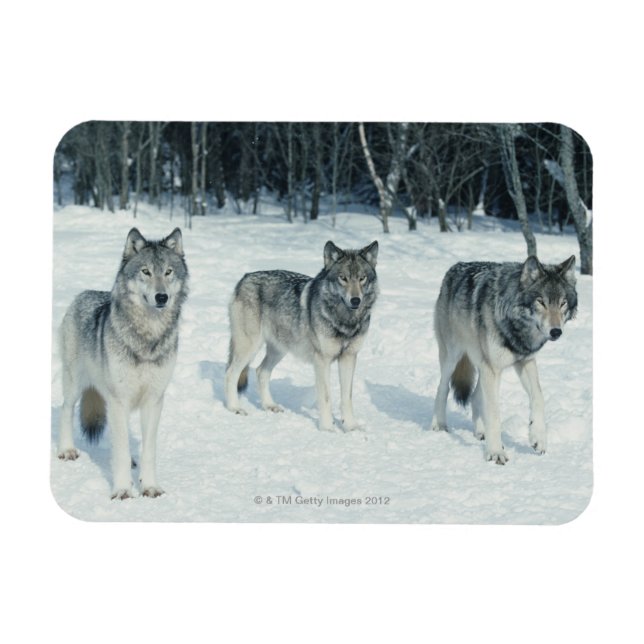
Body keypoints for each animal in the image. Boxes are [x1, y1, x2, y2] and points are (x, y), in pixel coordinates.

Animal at [56, 228, 189, 499]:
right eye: (146, 271)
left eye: (168, 272)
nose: (162, 297)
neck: (147, 337)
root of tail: (83, 294)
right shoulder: (119, 399)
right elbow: (119, 451)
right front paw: (122, 490)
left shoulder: (154, 400)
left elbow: (148, 451)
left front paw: (149, 486)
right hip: (75, 384)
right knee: (66, 410)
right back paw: (66, 450)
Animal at [224, 240, 379, 432]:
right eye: (343, 278)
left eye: (362, 278)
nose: (355, 300)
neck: (345, 321)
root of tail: (244, 278)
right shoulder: (322, 360)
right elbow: (326, 397)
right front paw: (327, 428)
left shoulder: (349, 357)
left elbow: (346, 398)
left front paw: (350, 427)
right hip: (250, 347)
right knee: (231, 374)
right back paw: (234, 408)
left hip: (279, 349)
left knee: (261, 371)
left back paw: (270, 405)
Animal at [431, 255, 577, 464]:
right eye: (541, 302)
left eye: (563, 303)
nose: (556, 331)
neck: (517, 328)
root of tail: (456, 266)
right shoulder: (492, 368)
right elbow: (494, 413)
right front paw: (495, 452)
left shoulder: (525, 361)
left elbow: (539, 397)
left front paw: (538, 438)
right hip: (453, 356)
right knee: (442, 387)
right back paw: (439, 425)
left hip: (483, 366)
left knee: (475, 396)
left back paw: (480, 432)